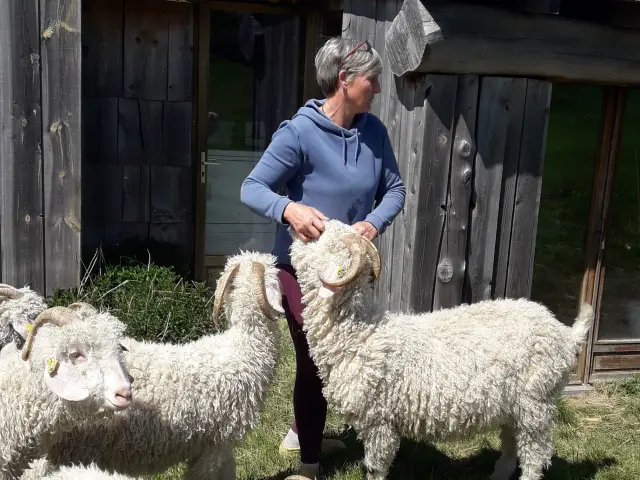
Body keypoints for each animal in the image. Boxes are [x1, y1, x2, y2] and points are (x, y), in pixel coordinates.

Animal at [287, 219, 594, 480]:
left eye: (319, 236)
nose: (296, 224)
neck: (362, 333)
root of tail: (565, 333)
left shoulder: (379, 420)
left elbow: (376, 468)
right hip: (513, 405)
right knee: (510, 445)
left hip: (536, 403)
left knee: (533, 454)